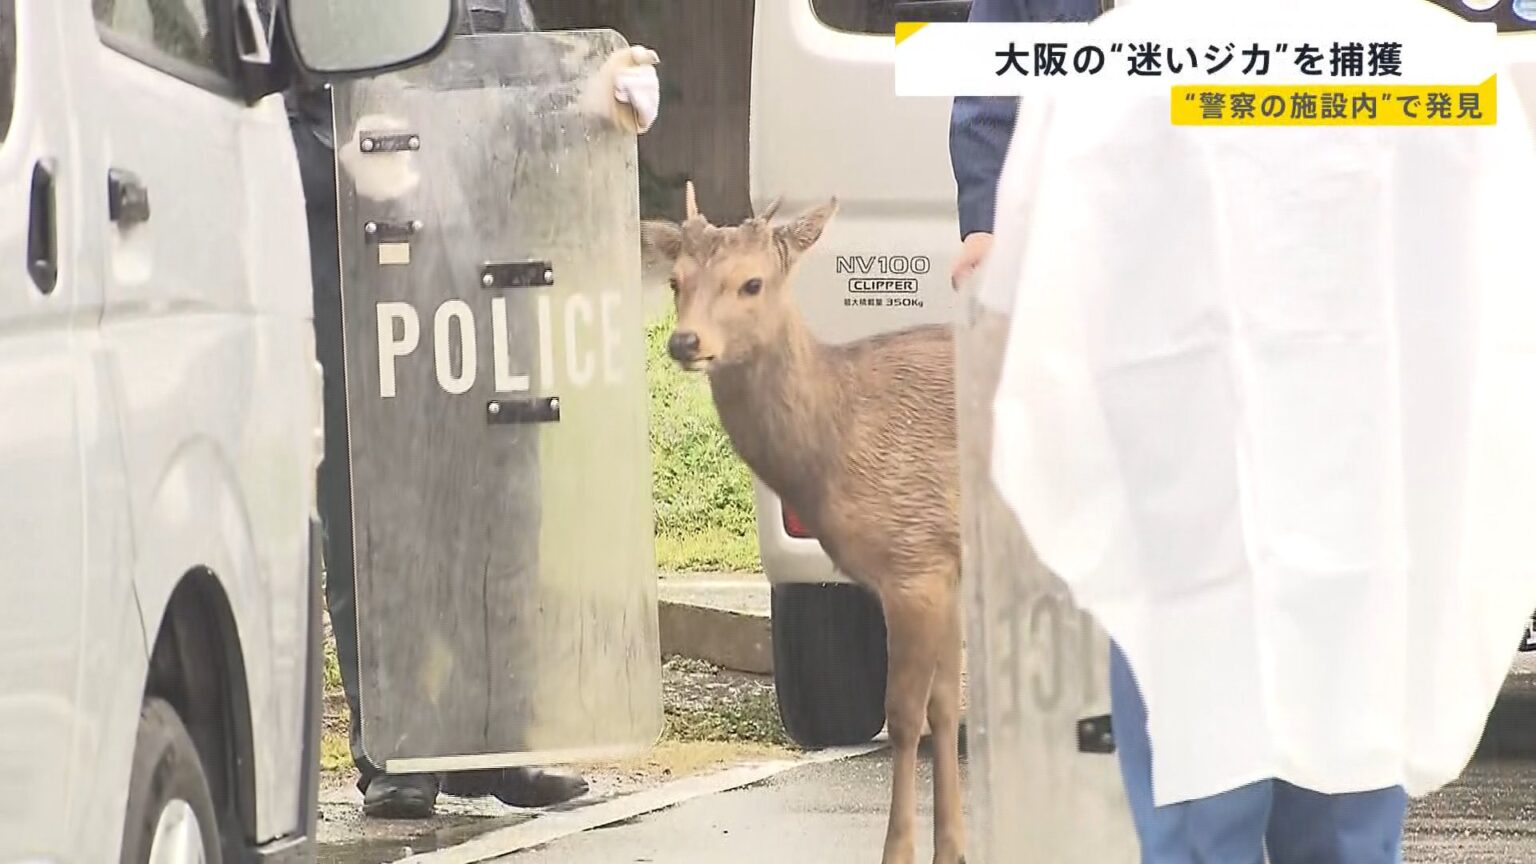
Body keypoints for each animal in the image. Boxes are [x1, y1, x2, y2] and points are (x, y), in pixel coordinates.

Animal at [641, 182, 964, 864]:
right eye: (676, 280)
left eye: (752, 282)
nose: (684, 343)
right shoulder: (945, 558)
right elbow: (944, 707)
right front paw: (953, 850)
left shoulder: (914, 562)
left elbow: (904, 716)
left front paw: (897, 852)